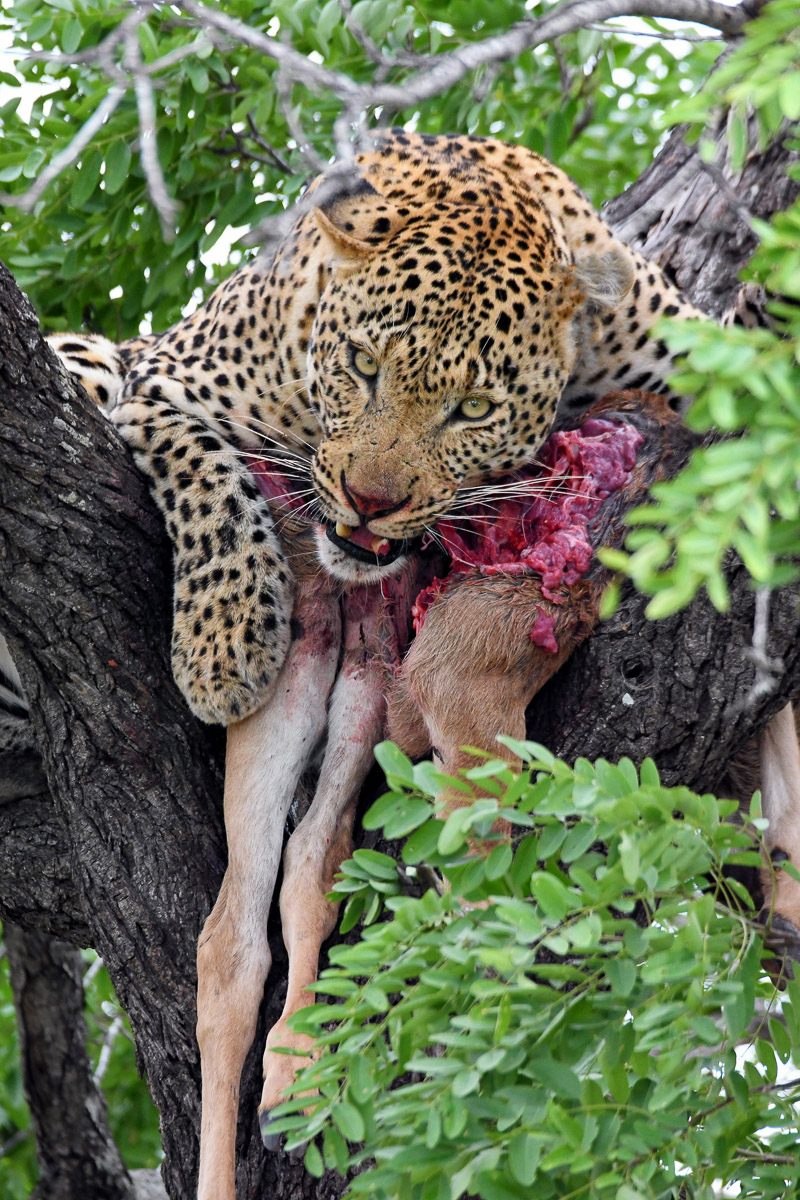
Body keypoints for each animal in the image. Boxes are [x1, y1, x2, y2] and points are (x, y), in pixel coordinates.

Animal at [48, 129, 704, 728]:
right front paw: (225, 639)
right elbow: (211, 484)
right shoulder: (162, 380)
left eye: (473, 409)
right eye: (363, 364)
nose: (368, 502)